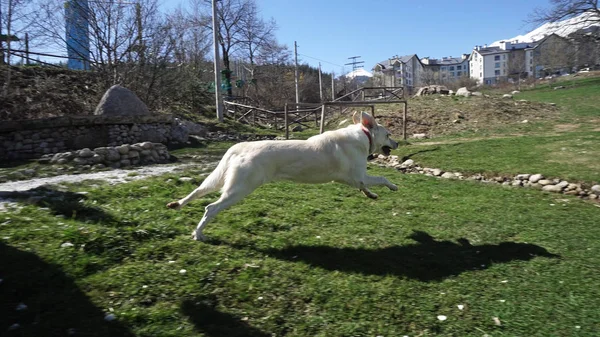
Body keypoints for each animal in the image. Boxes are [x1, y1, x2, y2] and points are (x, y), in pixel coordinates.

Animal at [166, 111, 398, 240]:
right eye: (388, 135)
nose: (396, 143)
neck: (364, 136)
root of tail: (240, 146)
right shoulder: (360, 176)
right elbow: (382, 179)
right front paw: (393, 187)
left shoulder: (355, 179)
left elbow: (365, 188)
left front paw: (371, 195)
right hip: (239, 189)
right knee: (210, 208)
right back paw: (198, 234)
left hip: (220, 182)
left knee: (196, 192)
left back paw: (177, 205)